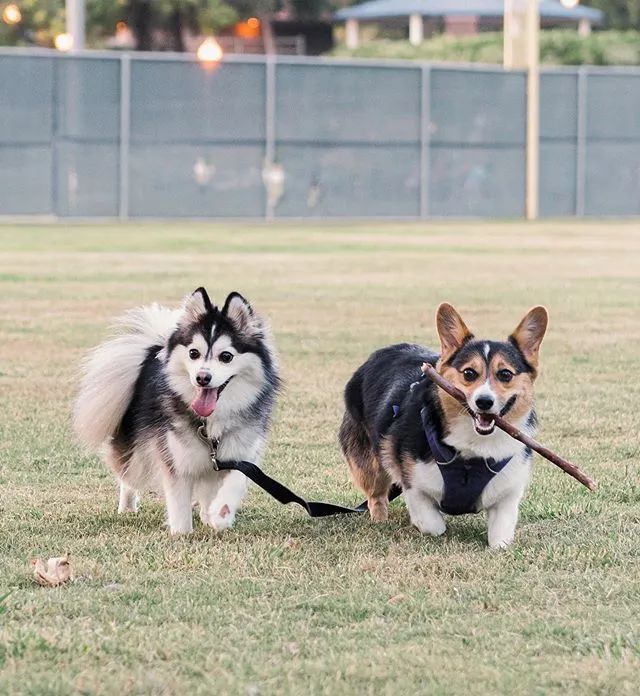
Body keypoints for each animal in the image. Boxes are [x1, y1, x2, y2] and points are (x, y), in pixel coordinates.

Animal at [74, 286, 278, 532]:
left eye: (226, 356)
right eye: (193, 353)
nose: (202, 378)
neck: (210, 425)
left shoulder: (242, 452)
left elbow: (235, 481)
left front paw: (221, 513)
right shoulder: (175, 458)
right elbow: (178, 504)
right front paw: (182, 533)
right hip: (136, 455)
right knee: (128, 476)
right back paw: (128, 506)